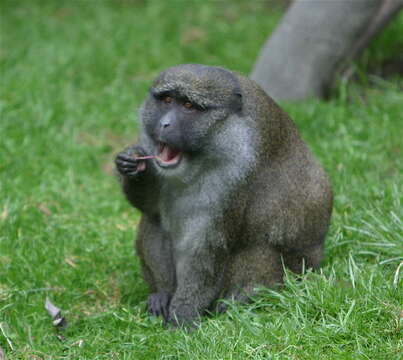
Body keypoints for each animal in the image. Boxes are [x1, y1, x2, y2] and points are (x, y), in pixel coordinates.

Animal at [115, 64, 332, 326]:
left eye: (188, 106)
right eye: (167, 100)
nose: (165, 124)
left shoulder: (236, 175)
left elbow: (207, 250)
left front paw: (183, 316)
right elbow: (151, 208)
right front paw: (132, 164)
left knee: (260, 250)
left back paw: (234, 304)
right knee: (154, 222)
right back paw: (162, 294)